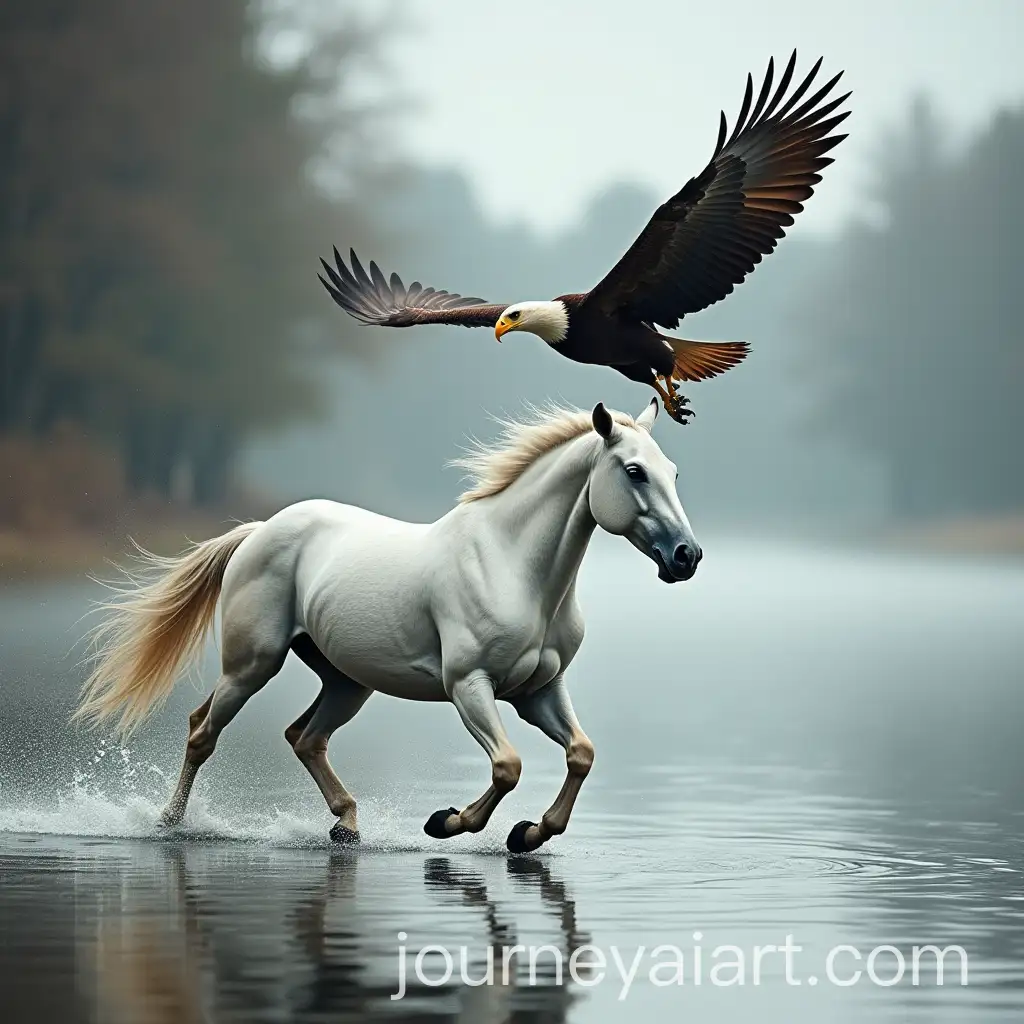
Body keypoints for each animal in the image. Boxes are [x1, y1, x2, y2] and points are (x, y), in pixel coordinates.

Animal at [74, 399, 701, 852]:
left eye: (673, 471)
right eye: (635, 472)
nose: (686, 556)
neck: (512, 565)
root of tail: (258, 532)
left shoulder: (538, 691)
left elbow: (581, 754)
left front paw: (529, 834)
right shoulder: (469, 686)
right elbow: (507, 767)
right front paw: (446, 821)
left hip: (347, 682)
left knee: (305, 737)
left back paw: (346, 825)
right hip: (252, 665)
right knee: (203, 732)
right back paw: (169, 823)